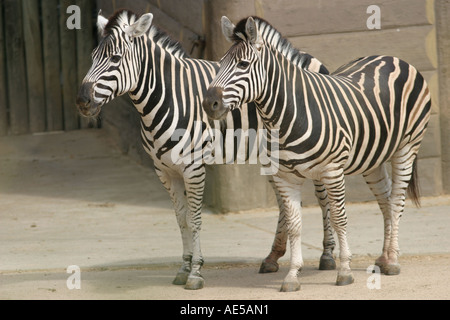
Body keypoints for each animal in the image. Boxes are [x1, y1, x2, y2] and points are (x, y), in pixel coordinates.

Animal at [75, 10, 332, 290]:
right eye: (92, 57)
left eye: (115, 58)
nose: (82, 101)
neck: (166, 98)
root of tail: (308, 56)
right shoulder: (164, 171)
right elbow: (181, 219)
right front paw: (183, 268)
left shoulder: (193, 168)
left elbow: (196, 219)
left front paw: (196, 272)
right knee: (285, 203)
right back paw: (272, 258)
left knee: (323, 198)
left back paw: (327, 256)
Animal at [202, 16, 430, 292]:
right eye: (220, 63)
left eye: (243, 64)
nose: (209, 103)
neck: (289, 114)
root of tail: (392, 57)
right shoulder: (285, 177)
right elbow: (294, 225)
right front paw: (292, 276)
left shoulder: (331, 171)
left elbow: (339, 218)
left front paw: (344, 271)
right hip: (372, 158)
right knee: (385, 199)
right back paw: (384, 257)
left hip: (407, 147)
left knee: (396, 201)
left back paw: (393, 261)